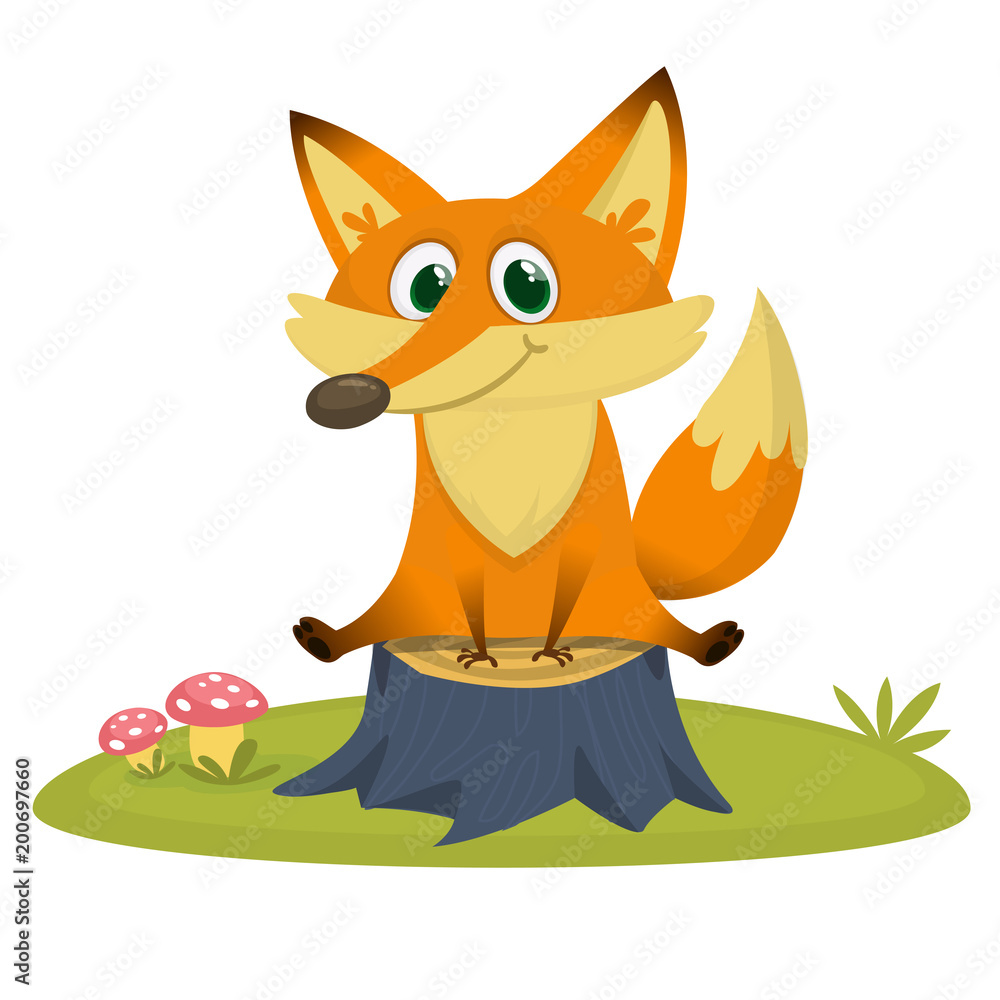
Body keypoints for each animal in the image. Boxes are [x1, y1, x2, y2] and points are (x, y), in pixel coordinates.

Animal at [283, 68, 806, 673]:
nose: (344, 398)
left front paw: (553, 650)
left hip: (622, 593)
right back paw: (331, 638)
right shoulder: (447, 545)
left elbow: (564, 601)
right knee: (385, 621)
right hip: (414, 589)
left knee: (657, 626)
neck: (508, 436)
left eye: (526, 286)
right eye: (424, 290)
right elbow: (473, 606)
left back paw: (703, 642)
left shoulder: (587, 540)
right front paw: (479, 652)